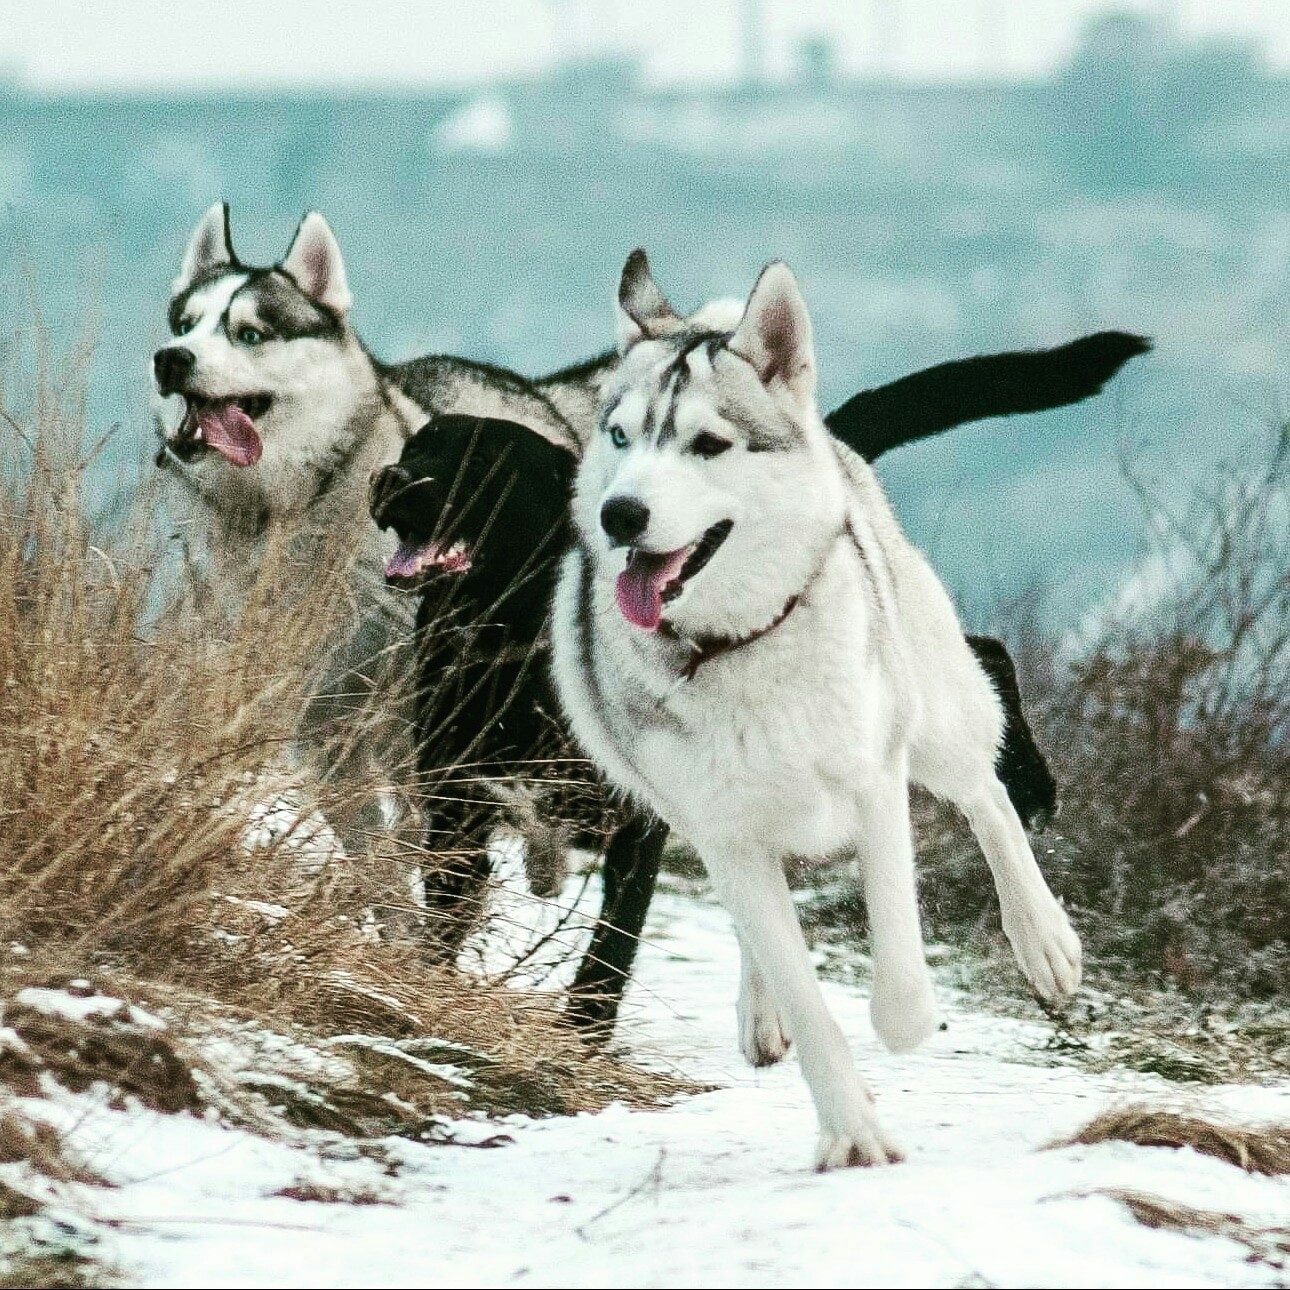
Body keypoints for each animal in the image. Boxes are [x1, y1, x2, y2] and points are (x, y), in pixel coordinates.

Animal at [368, 330, 1145, 1026]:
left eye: (479, 460)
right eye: (415, 447)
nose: (389, 479)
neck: (512, 645)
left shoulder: (639, 827)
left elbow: (610, 952)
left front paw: (582, 1036)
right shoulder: (458, 810)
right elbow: (449, 918)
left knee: (982, 667)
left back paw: (1032, 810)